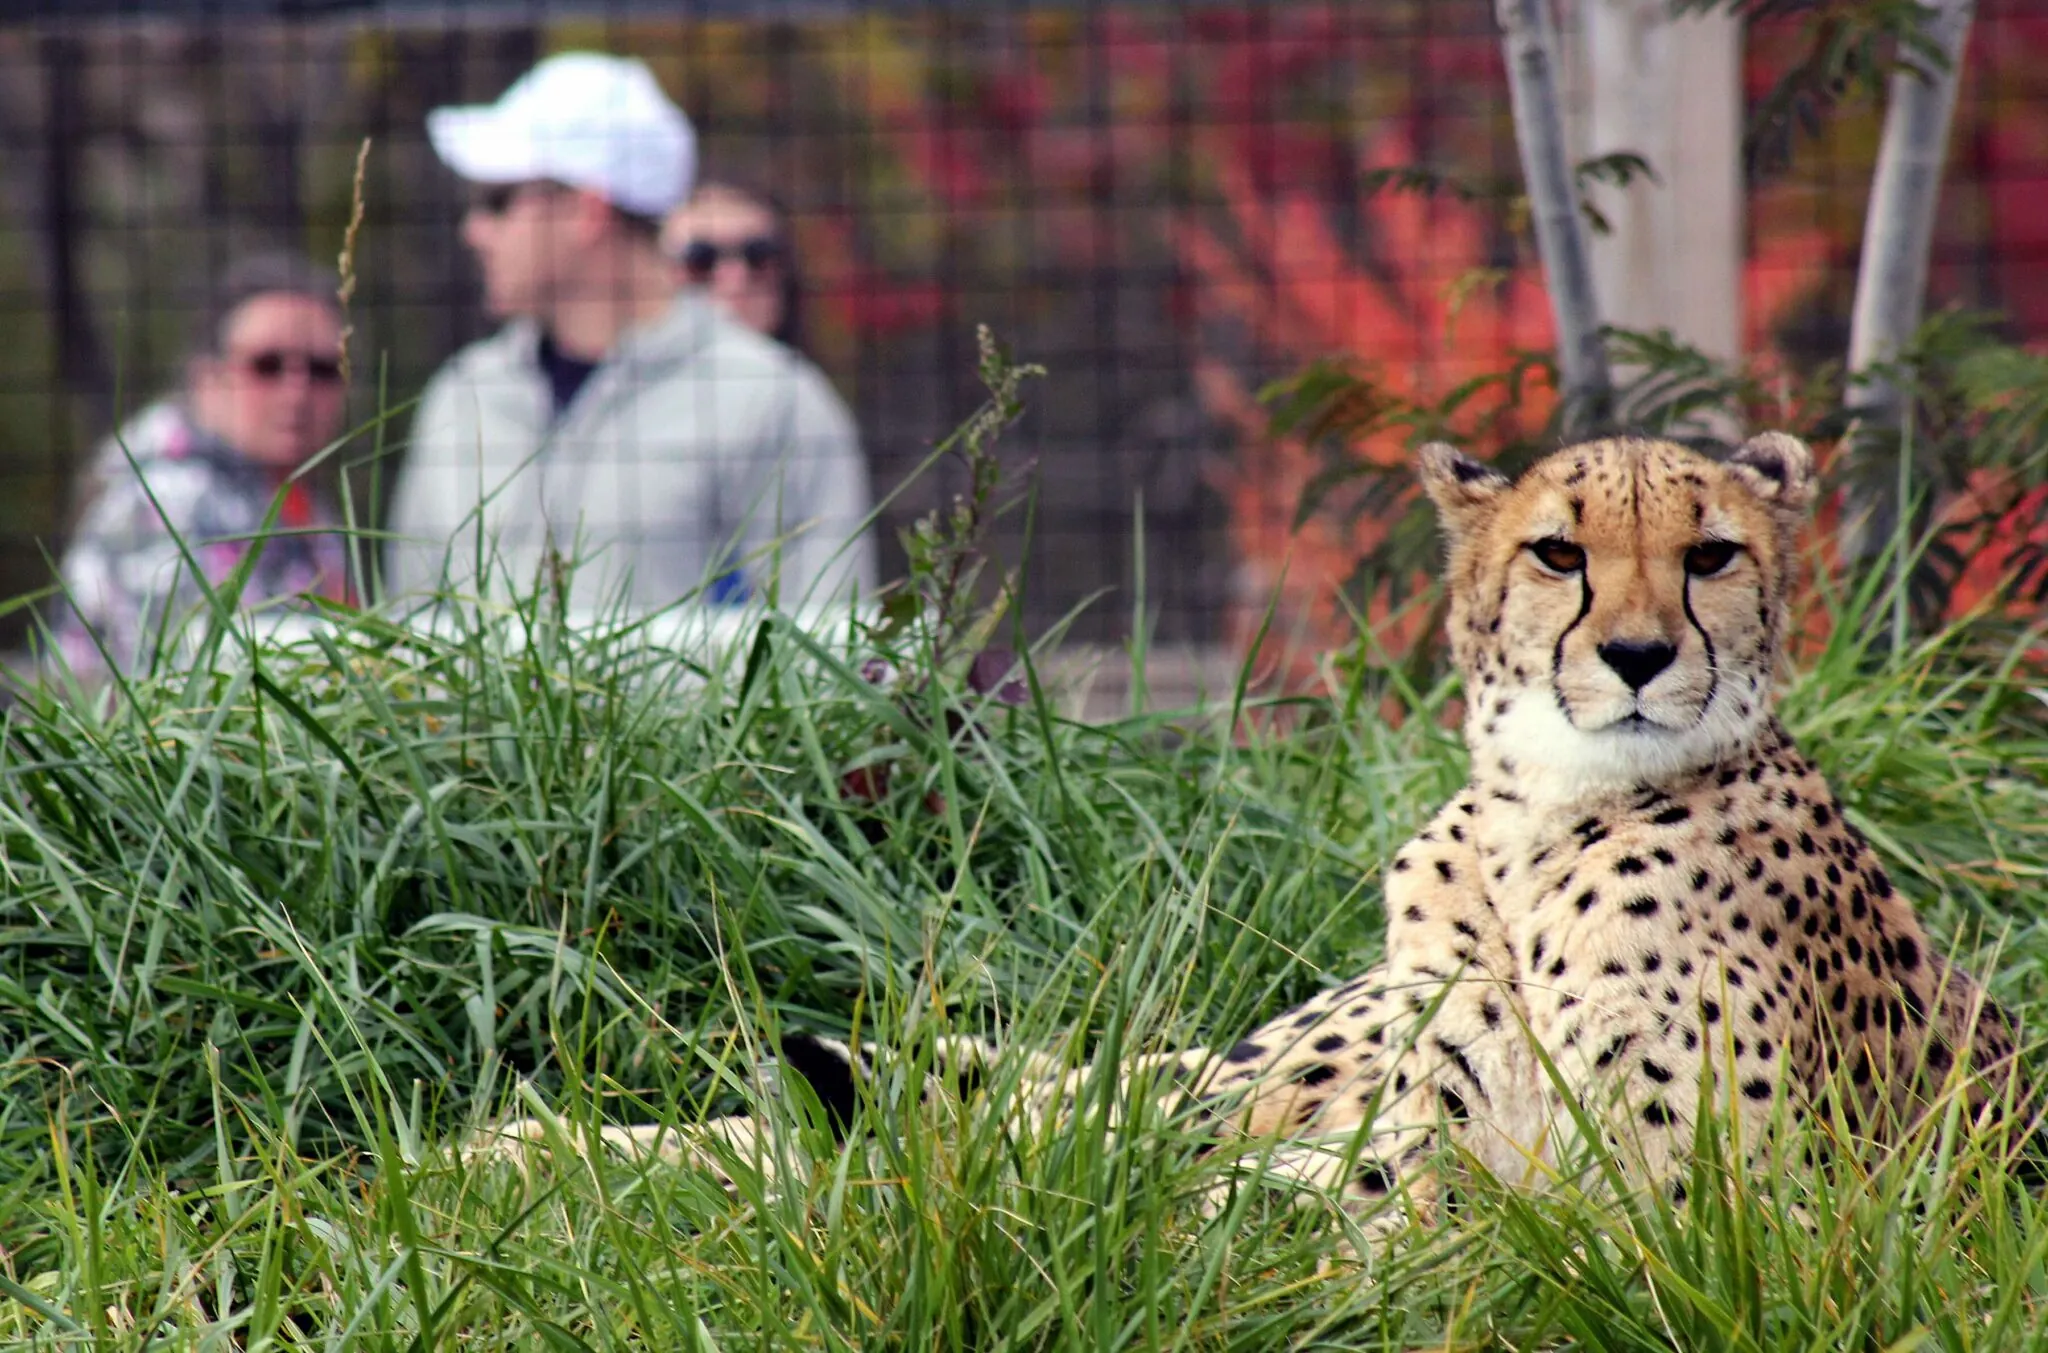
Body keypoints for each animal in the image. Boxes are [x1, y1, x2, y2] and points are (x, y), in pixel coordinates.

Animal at [468, 429, 2031, 1228]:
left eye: (1710, 555)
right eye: (1557, 551)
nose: (1640, 656)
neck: (1541, 821)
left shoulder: (1727, 1208)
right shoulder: (1440, 1120)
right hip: (1268, 1068)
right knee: (1026, 1119)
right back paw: (506, 1153)